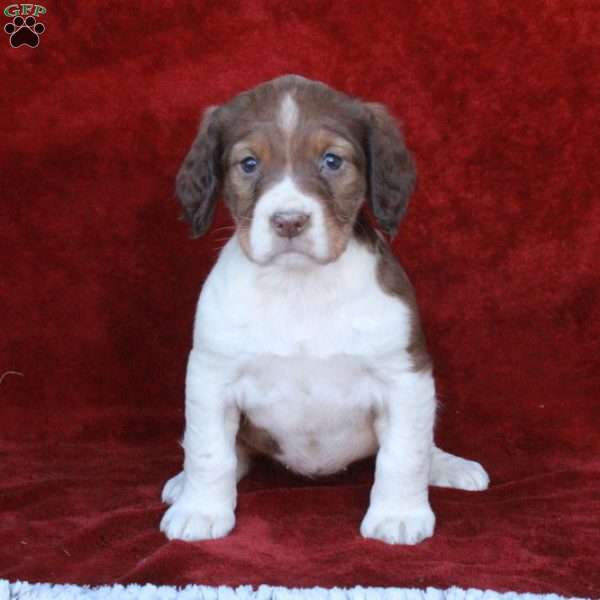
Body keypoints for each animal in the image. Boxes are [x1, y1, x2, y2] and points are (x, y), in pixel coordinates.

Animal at [159, 74, 488, 544]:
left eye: (332, 160)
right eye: (248, 164)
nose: (288, 221)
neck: (300, 286)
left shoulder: (404, 376)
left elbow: (404, 454)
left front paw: (399, 514)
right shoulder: (211, 375)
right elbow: (208, 453)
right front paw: (200, 509)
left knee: (423, 446)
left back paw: (446, 465)